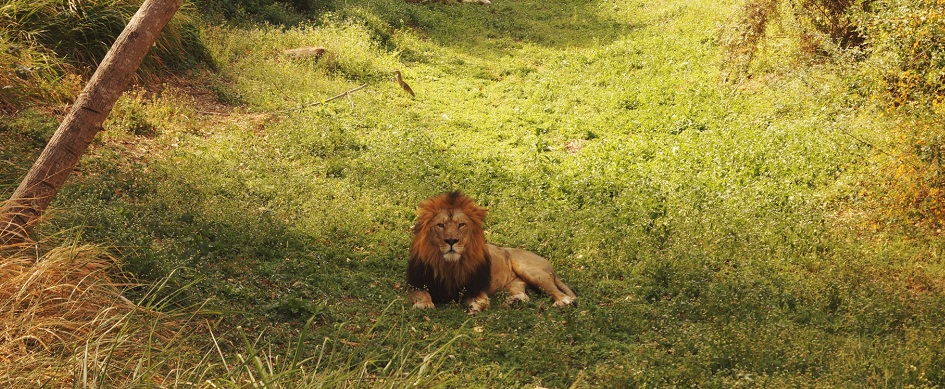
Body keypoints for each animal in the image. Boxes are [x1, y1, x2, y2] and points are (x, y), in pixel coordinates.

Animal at [402, 189, 572, 314]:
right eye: (440, 225)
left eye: (461, 225)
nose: (451, 240)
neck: (449, 265)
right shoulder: (415, 284)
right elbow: (422, 295)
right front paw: (425, 304)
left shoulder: (475, 288)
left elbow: (485, 302)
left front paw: (475, 308)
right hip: (514, 283)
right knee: (523, 294)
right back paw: (513, 301)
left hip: (530, 270)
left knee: (561, 294)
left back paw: (562, 302)